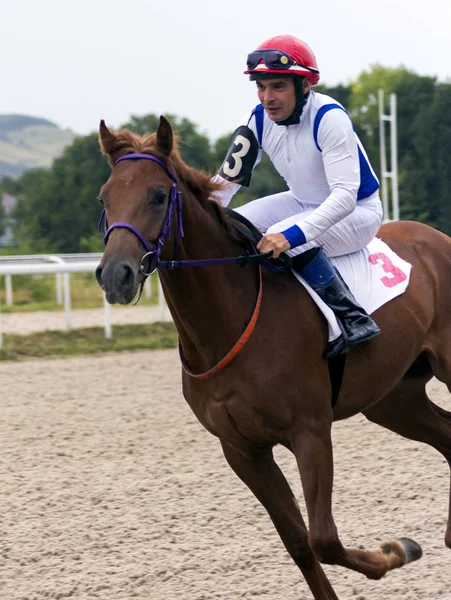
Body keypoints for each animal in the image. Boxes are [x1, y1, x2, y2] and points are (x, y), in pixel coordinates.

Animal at [95, 117, 451, 600]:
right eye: (104, 197)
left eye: (158, 195)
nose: (116, 275)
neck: (226, 323)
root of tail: (436, 237)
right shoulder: (242, 449)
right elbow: (300, 544)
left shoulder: (310, 431)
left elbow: (324, 539)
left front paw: (397, 551)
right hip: (394, 399)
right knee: (447, 436)